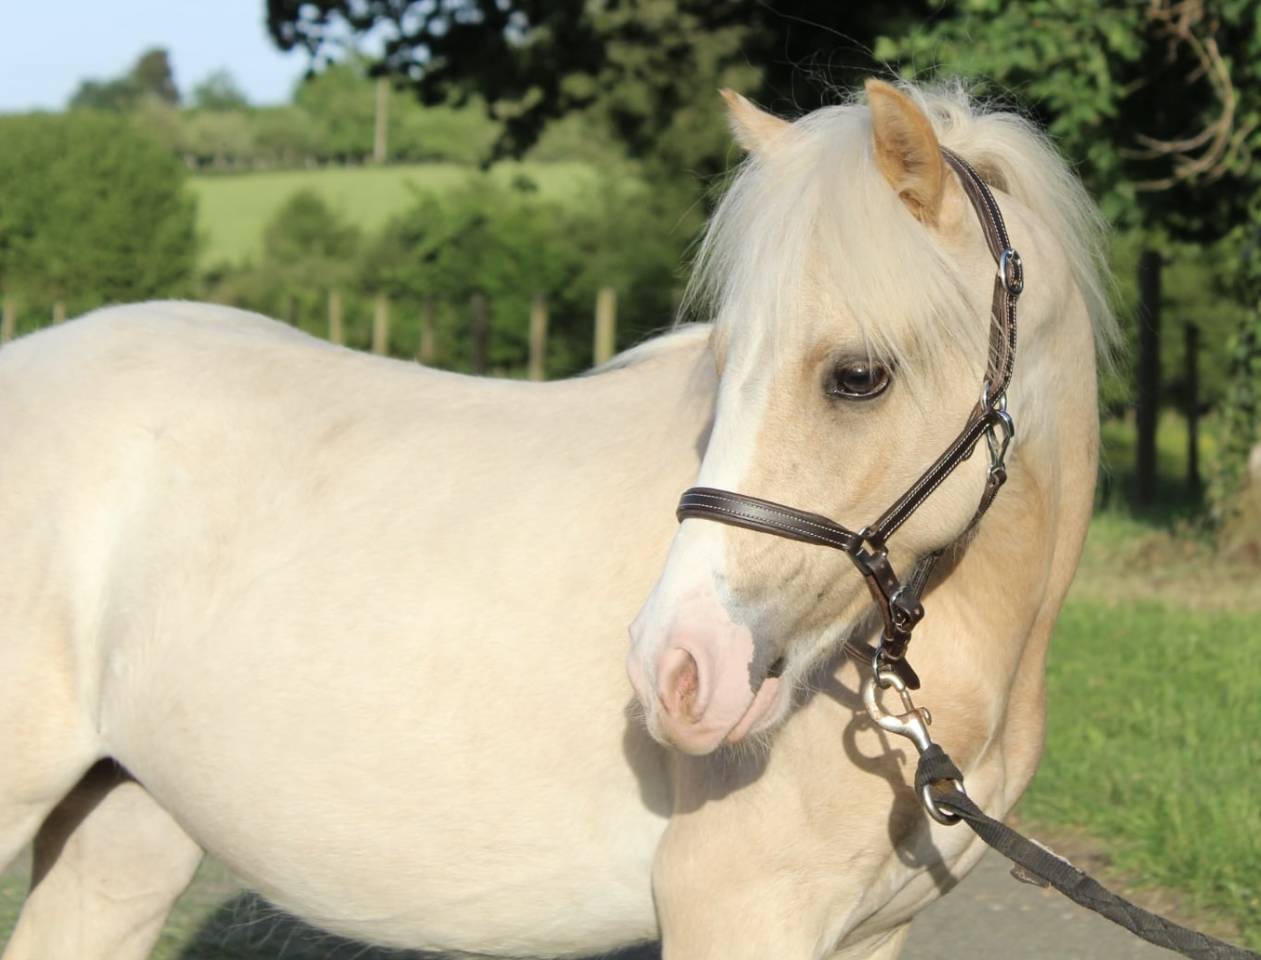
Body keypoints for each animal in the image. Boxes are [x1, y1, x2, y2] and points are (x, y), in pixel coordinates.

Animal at [0, 79, 1112, 960]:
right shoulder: (738, 917)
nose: (677, 672)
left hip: (125, 830)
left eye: (858, 376)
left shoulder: (871, 934)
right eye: (724, 358)